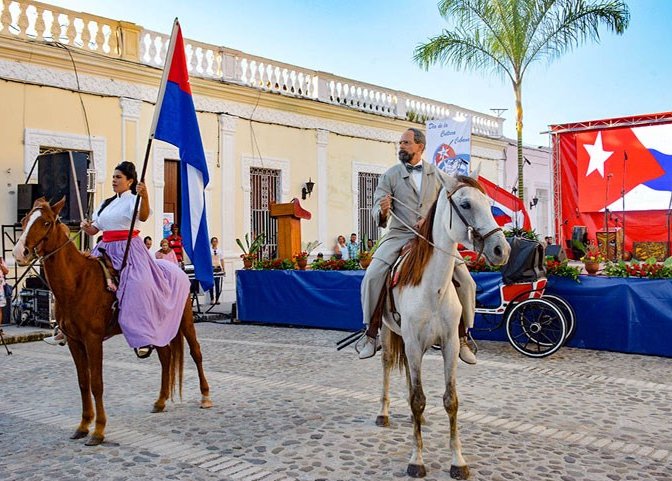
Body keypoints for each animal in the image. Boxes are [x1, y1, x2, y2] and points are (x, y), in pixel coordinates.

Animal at [13, 197, 213, 444]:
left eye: (46, 222)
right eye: (24, 220)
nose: (19, 252)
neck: (77, 282)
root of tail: (177, 268)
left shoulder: (92, 340)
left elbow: (97, 384)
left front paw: (98, 430)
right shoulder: (74, 341)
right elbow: (83, 382)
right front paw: (83, 425)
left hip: (185, 321)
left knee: (196, 353)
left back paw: (205, 396)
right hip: (157, 327)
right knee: (166, 357)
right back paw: (160, 401)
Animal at [378, 174, 510, 478]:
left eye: (489, 204)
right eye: (466, 204)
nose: (502, 249)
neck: (433, 288)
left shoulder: (449, 344)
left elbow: (451, 400)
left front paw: (458, 461)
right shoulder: (413, 344)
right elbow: (417, 397)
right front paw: (416, 460)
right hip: (389, 332)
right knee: (388, 364)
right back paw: (384, 412)